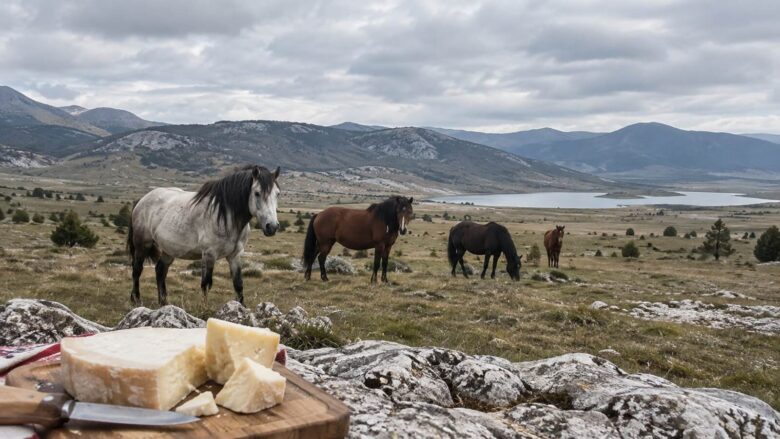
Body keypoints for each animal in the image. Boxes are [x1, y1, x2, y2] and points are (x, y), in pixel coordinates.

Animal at [127, 165, 281, 306]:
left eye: (277, 194)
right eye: (257, 193)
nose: (272, 227)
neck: (225, 216)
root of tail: (142, 199)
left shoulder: (235, 256)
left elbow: (238, 284)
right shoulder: (209, 254)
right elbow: (206, 284)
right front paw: (205, 309)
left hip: (169, 249)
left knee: (160, 270)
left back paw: (164, 303)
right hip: (143, 244)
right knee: (137, 270)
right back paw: (137, 300)